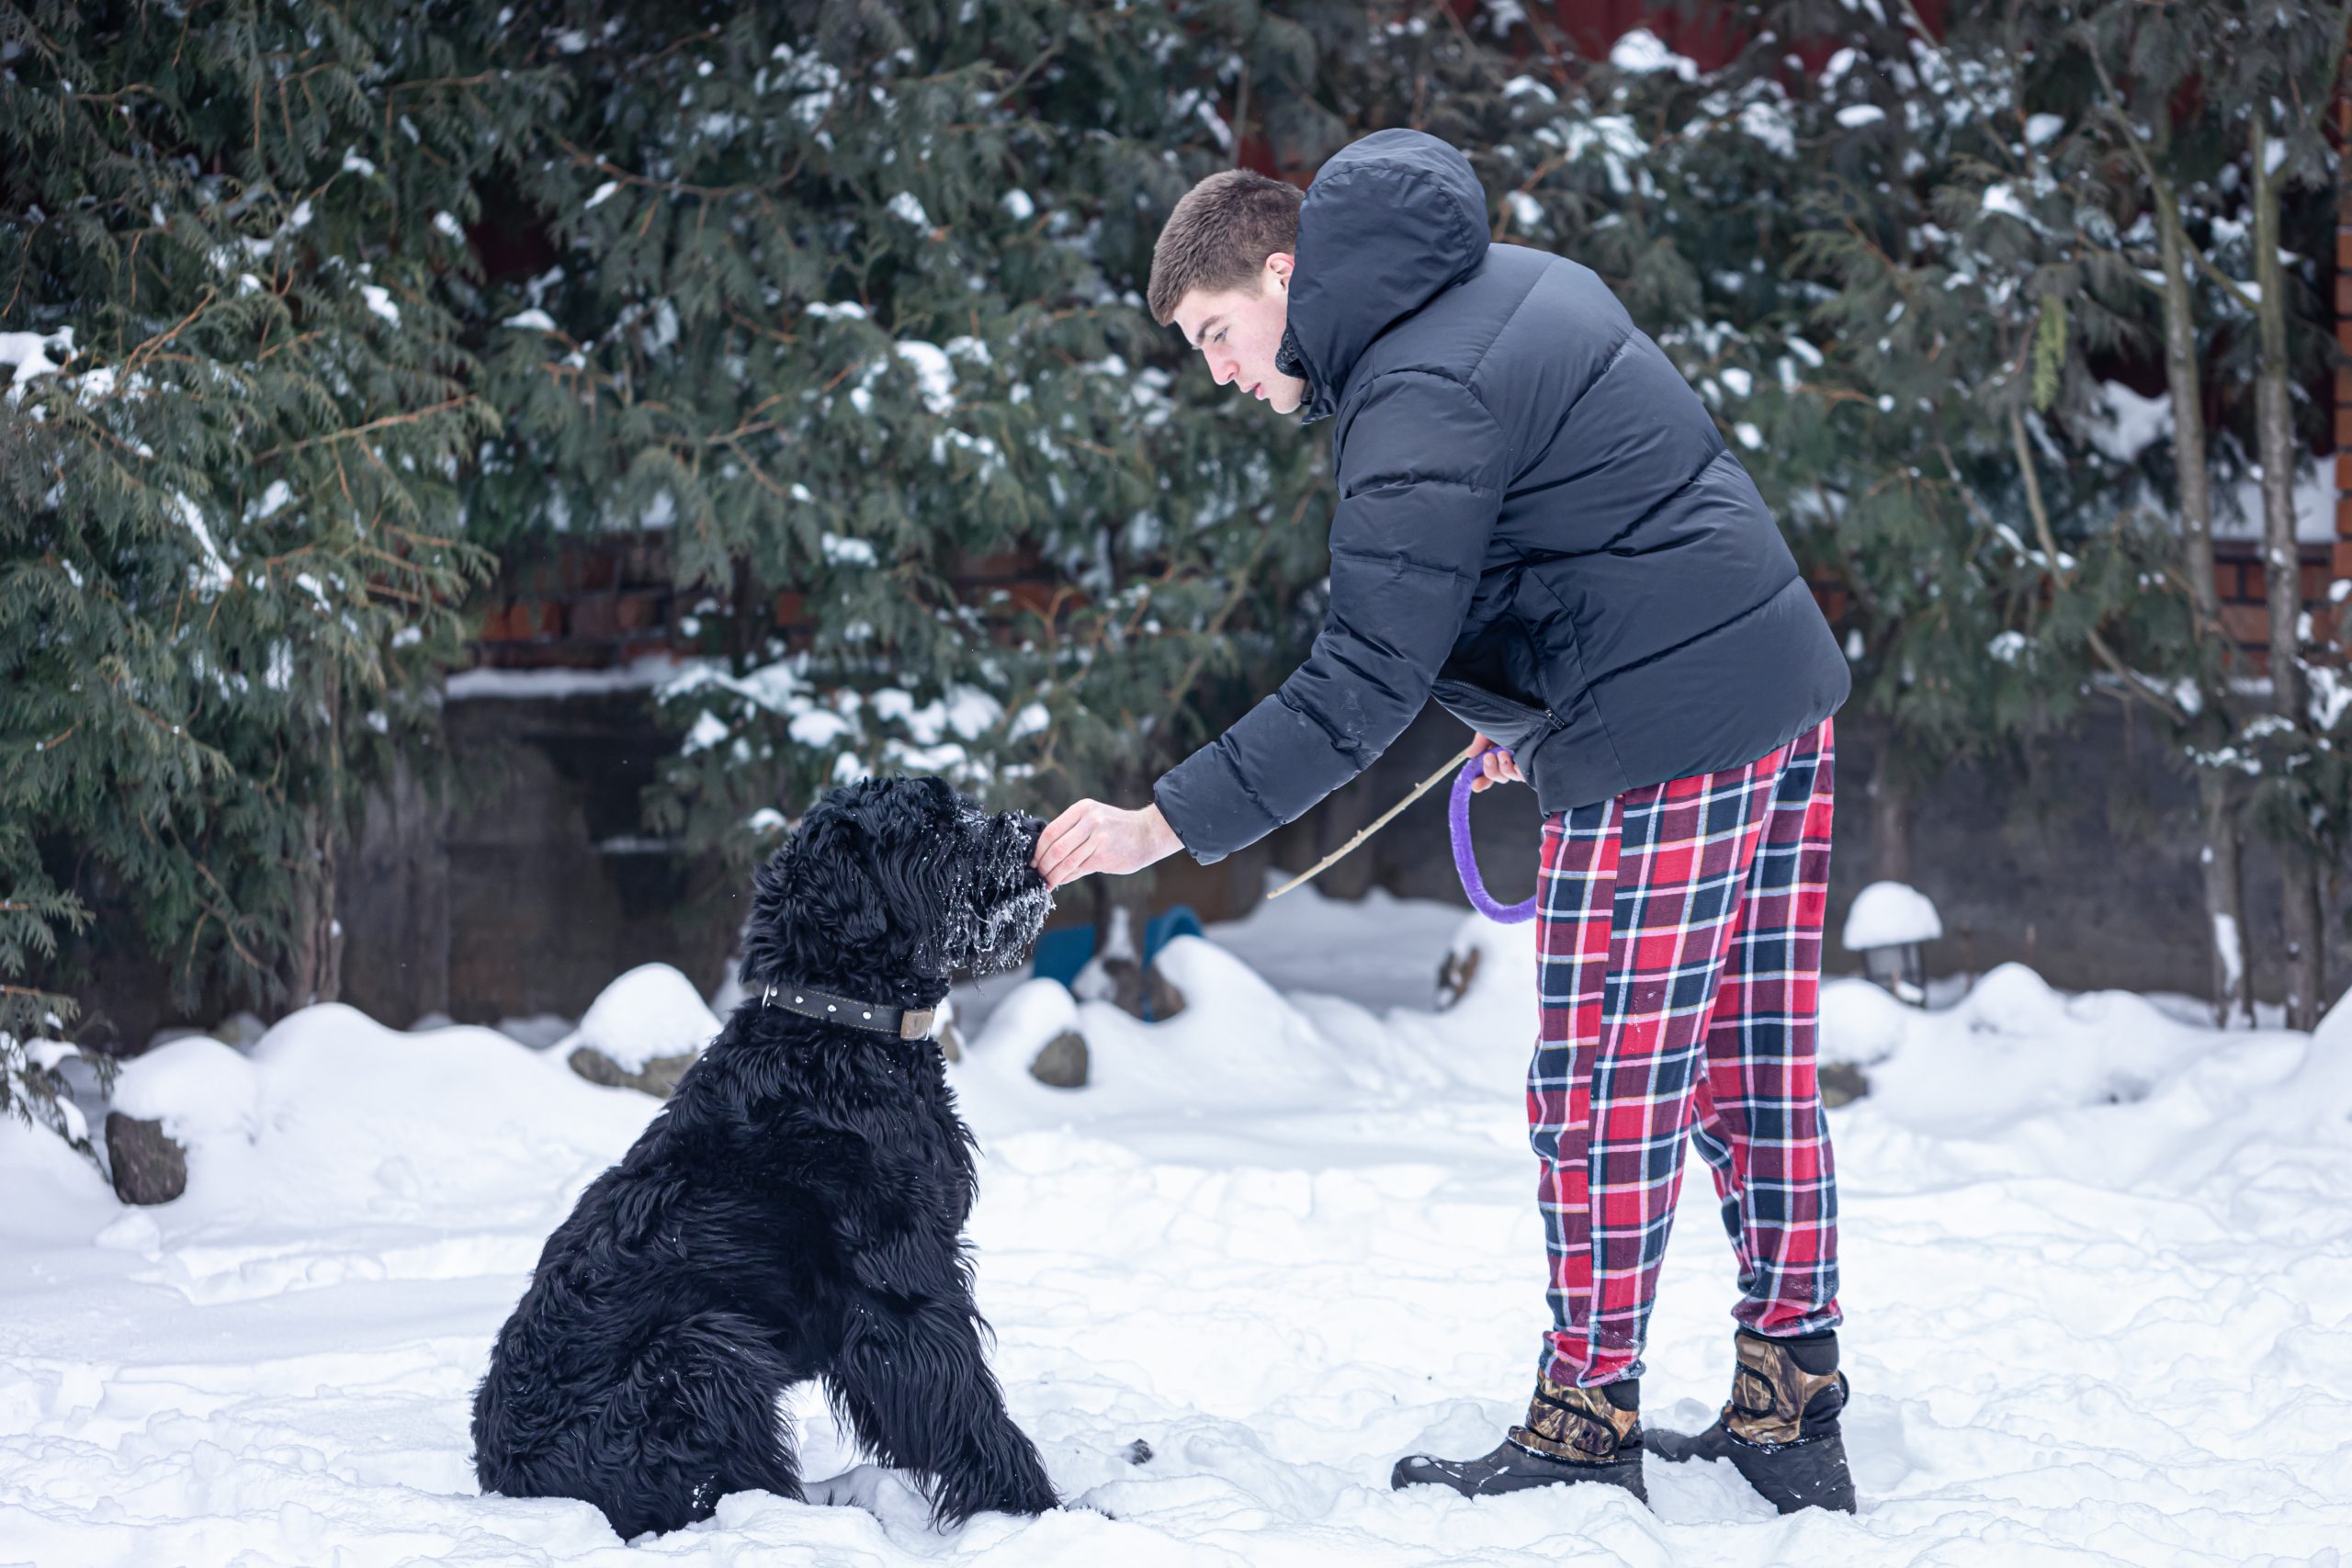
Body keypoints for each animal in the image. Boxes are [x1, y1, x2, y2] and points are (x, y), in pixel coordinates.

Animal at [468, 780, 1058, 1541]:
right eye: (929, 827)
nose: (1034, 831)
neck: (837, 1028)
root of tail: (503, 1477)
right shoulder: (903, 1287)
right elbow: (966, 1406)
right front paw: (1039, 1511)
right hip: (703, 1352)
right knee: (730, 1489)